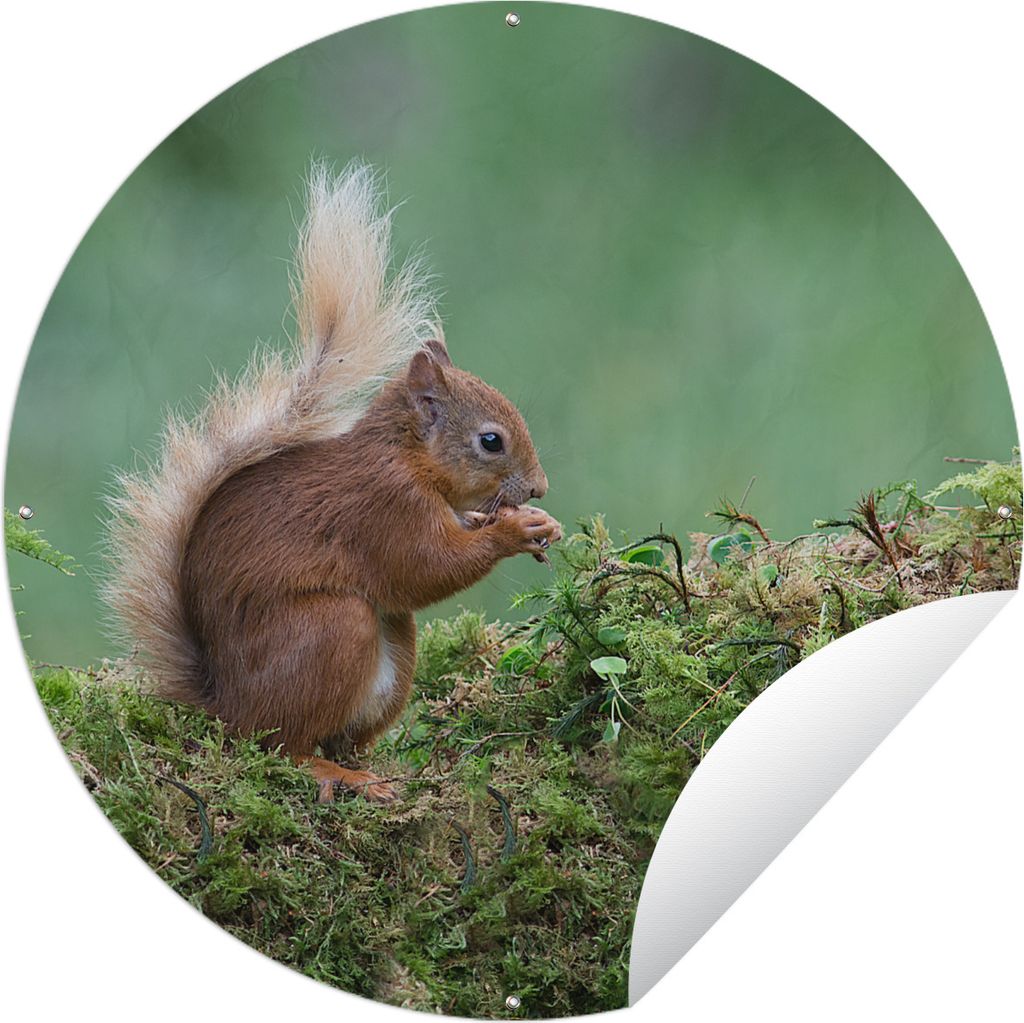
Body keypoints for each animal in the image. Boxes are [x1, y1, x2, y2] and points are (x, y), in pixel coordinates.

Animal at [103, 163, 561, 803]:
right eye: (490, 441)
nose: (539, 488)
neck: (407, 458)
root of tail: (226, 706)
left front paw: (527, 522)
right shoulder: (383, 506)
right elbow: (425, 567)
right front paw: (512, 531)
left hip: (393, 652)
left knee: (340, 734)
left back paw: (371, 770)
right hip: (330, 631)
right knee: (282, 746)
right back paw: (334, 774)